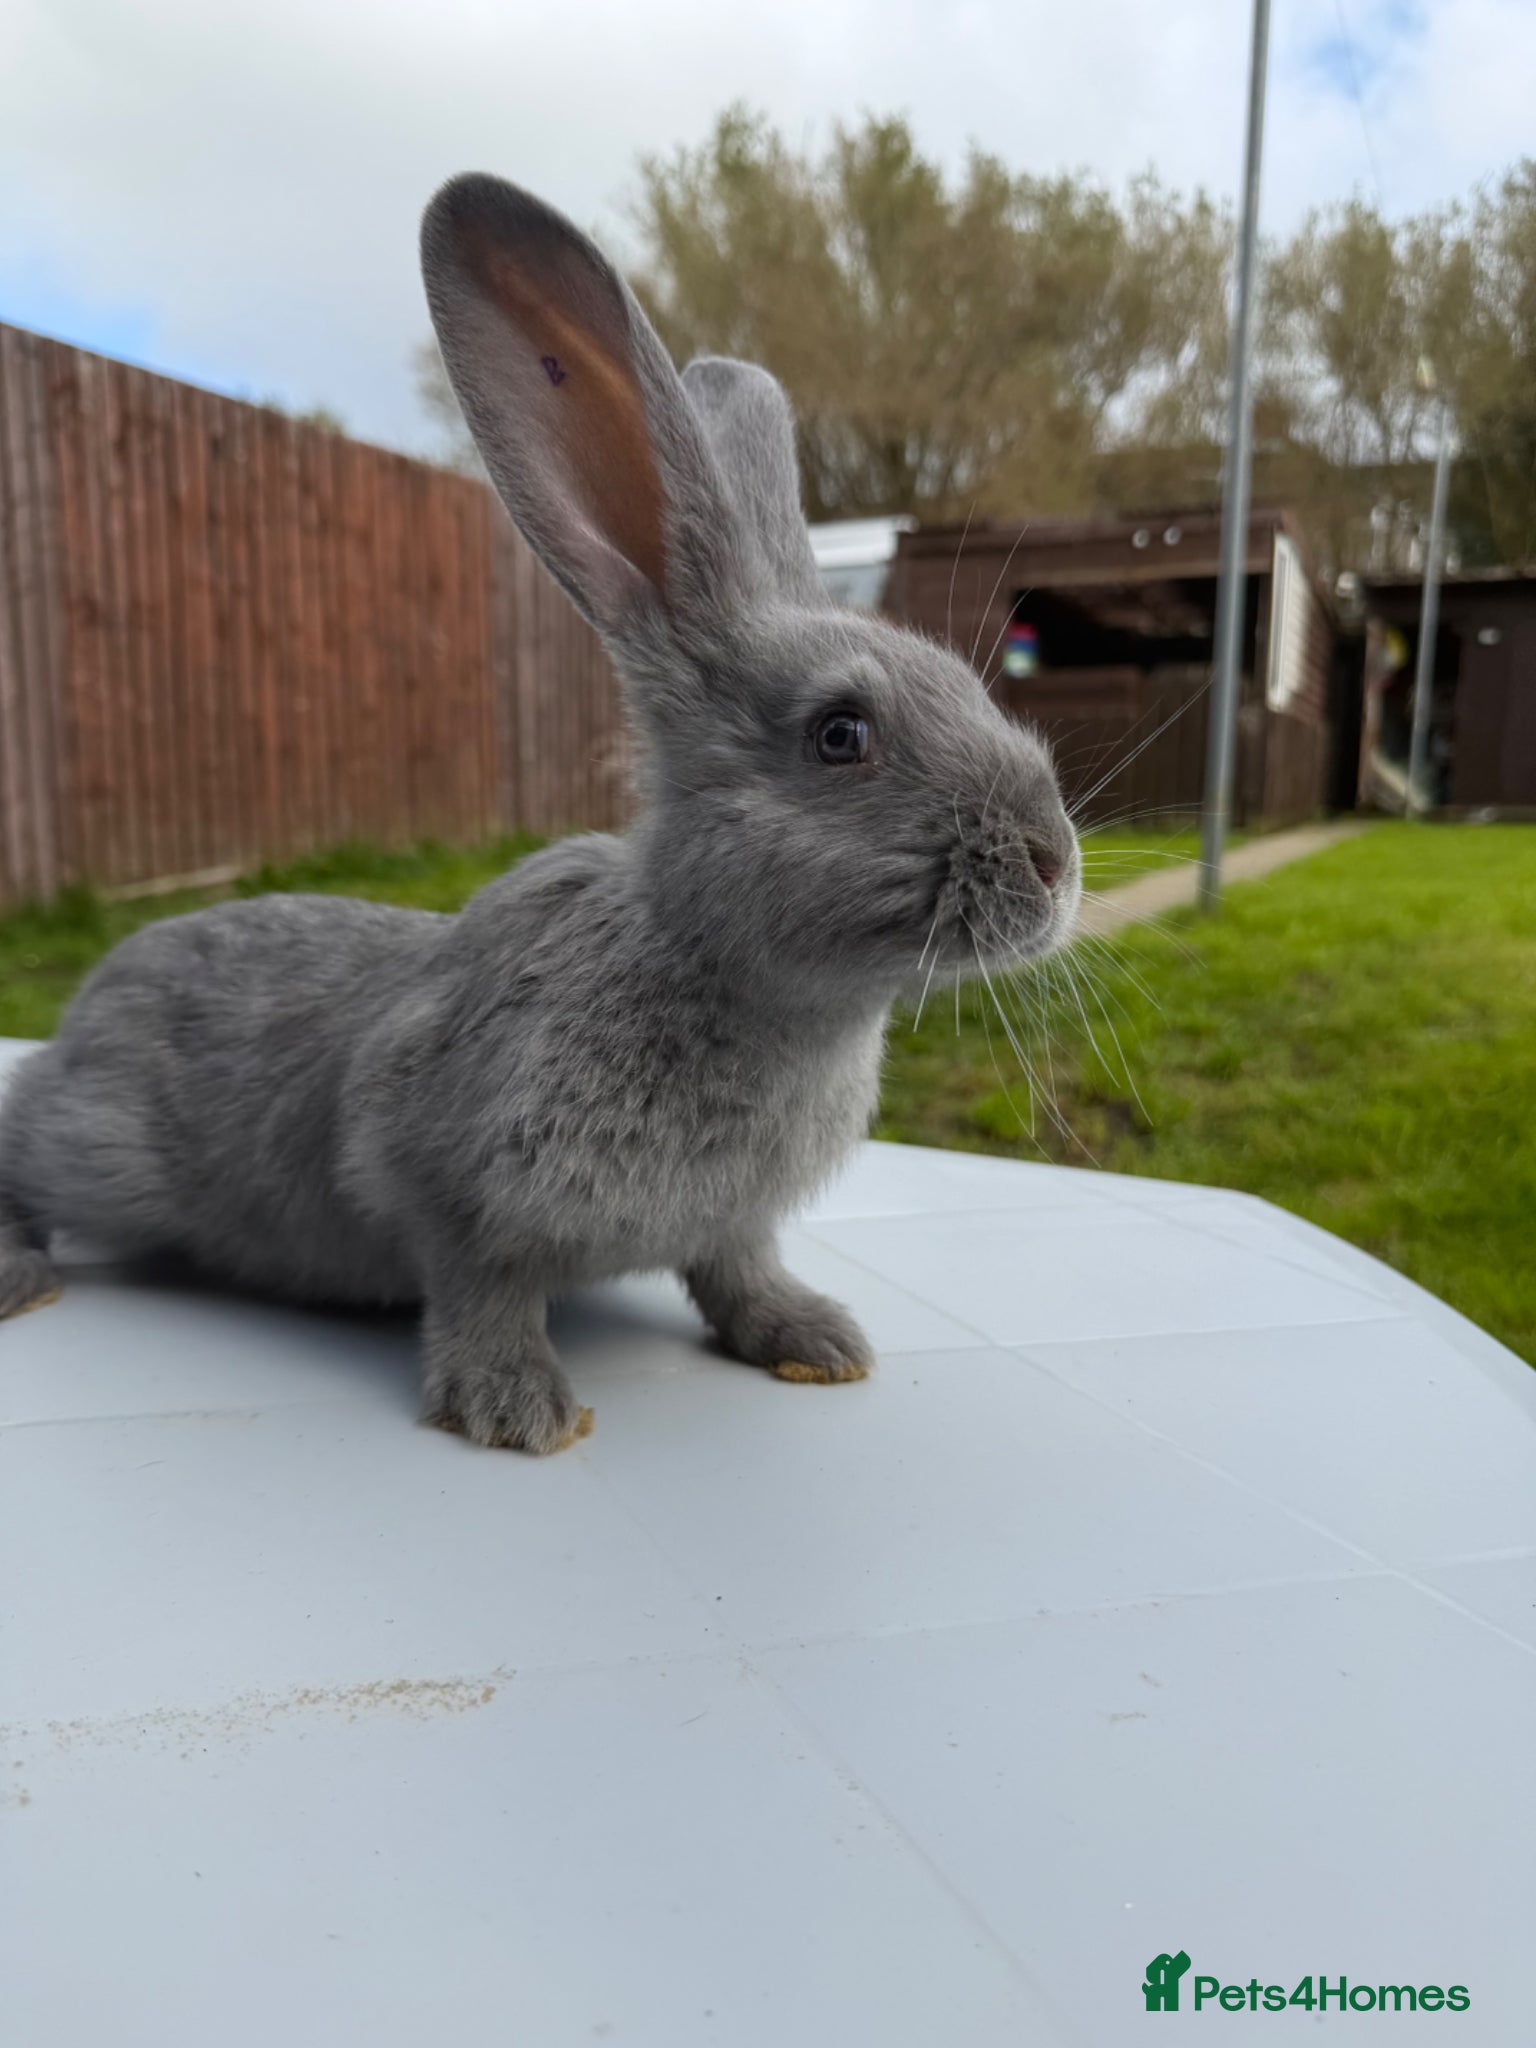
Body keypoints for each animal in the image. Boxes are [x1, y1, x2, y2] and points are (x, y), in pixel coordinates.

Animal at [0, 172, 1081, 1452]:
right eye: (840, 735)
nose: (1054, 863)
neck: (709, 964)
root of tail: (92, 997)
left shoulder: (735, 1221)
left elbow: (737, 1268)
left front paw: (815, 1340)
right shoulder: (440, 1171)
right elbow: (481, 1282)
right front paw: (518, 1408)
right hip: (98, 1148)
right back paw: (17, 1275)